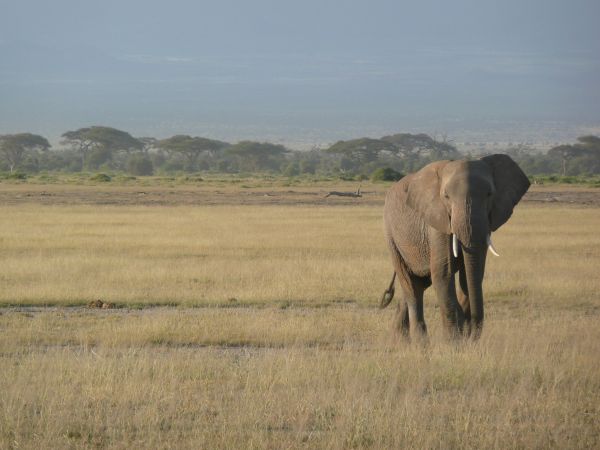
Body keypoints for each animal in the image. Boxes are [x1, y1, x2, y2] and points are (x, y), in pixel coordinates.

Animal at [380, 156, 528, 342]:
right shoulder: (437, 219)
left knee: (420, 283)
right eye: (446, 196)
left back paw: (400, 340)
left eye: (490, 194)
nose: (470, 334)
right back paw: (420, 344)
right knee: (411, 285)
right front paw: (453, 343)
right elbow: (443, 273)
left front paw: (462, 337)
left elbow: (471, 274)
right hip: (391, 235)